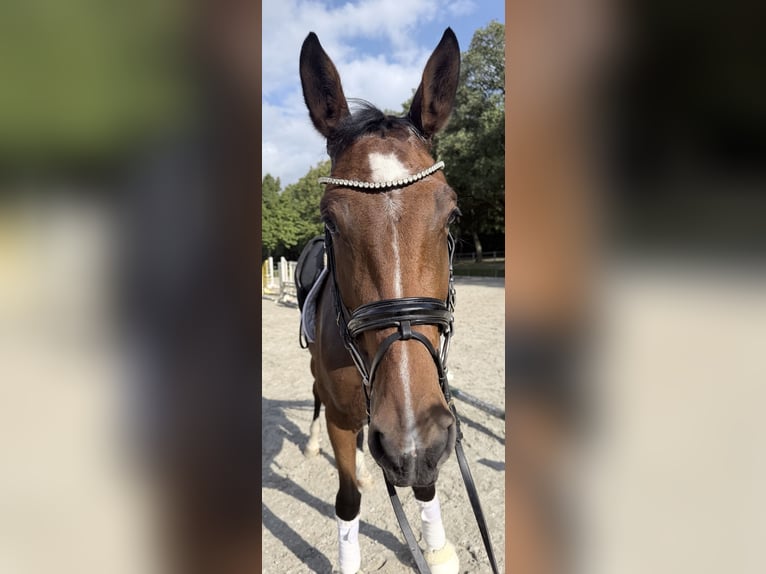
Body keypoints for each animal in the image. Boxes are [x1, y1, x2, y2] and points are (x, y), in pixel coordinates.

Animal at [297, 29, 463, 574]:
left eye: (453, 215)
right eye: (329, 220)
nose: (412, 439)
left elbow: (426, 482)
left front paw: (435, 546)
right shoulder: (342, 416)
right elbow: (347, 499)